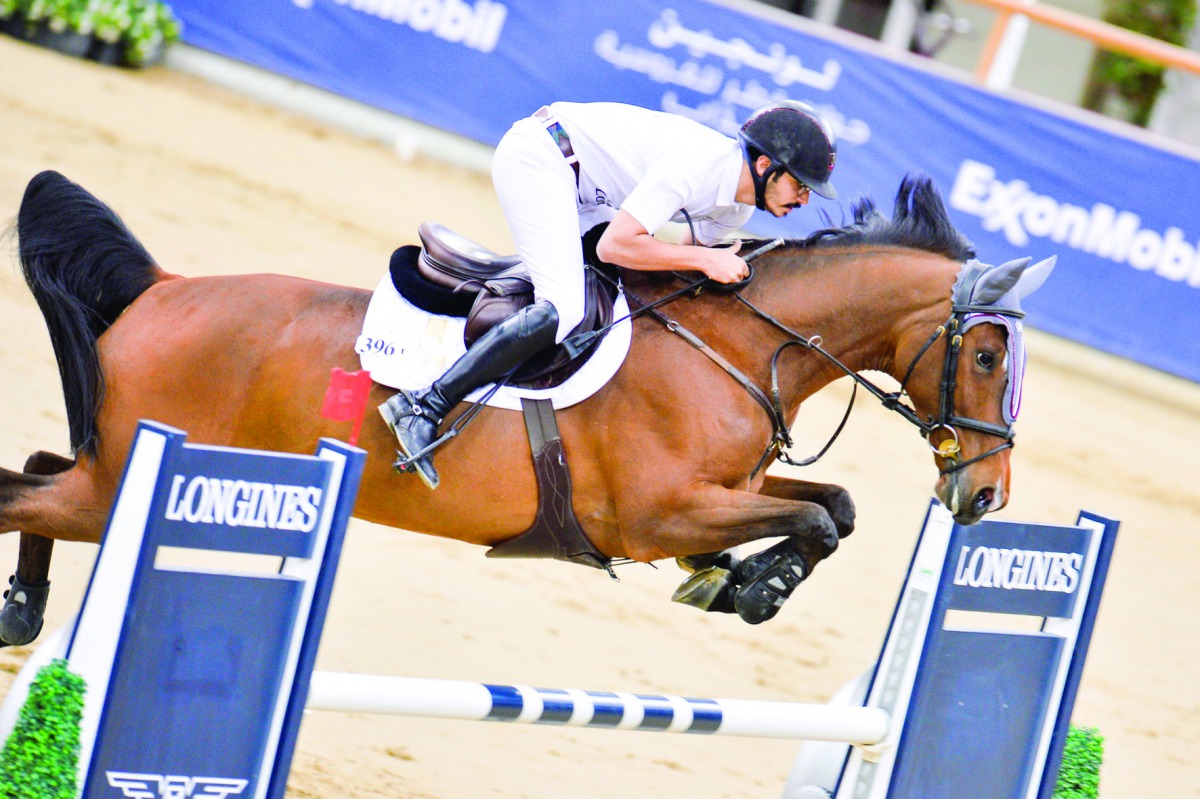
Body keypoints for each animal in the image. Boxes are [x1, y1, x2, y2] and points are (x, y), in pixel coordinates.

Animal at [0, 169, 1051, 643]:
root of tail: (159, 290)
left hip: (119, 471)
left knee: (43, 471)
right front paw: (755, 586)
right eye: (986, 353)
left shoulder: (720, 493)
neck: (740, 344)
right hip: (122, 485)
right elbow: (817, 519)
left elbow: (833, 505)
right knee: (24, 491)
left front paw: (735, 580)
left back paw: (22, 607)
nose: (987, 495)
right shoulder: (657, 512)